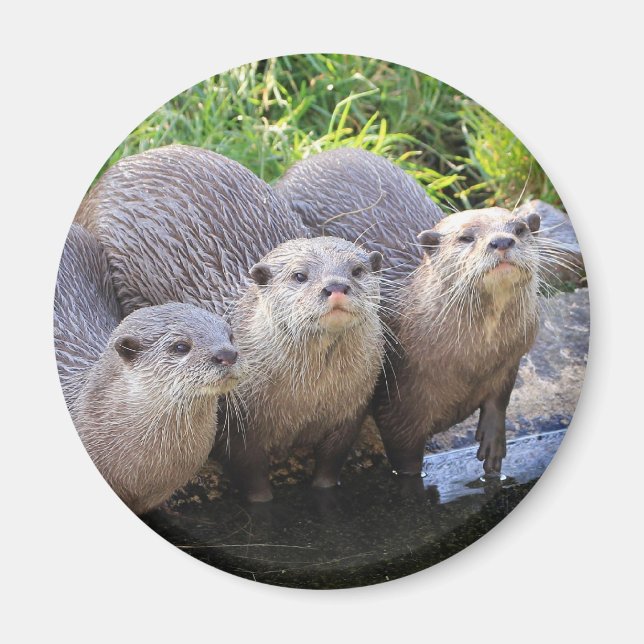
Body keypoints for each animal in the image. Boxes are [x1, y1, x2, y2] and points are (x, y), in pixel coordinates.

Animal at [76, 145, 384, 501]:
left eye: (357, 271)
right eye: (299, 275)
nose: (335, 286)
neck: (308, 400)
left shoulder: (351, 412)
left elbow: (331, 464)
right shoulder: (237, 424)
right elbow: (250, 474)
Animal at [276, 148, 543, 477]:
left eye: (519, 229)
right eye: (466, 237)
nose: (502, 241)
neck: (475, 362)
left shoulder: (510, 359)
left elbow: (500, 400)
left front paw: (494, 444)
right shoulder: (400, 403)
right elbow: (406, 461)